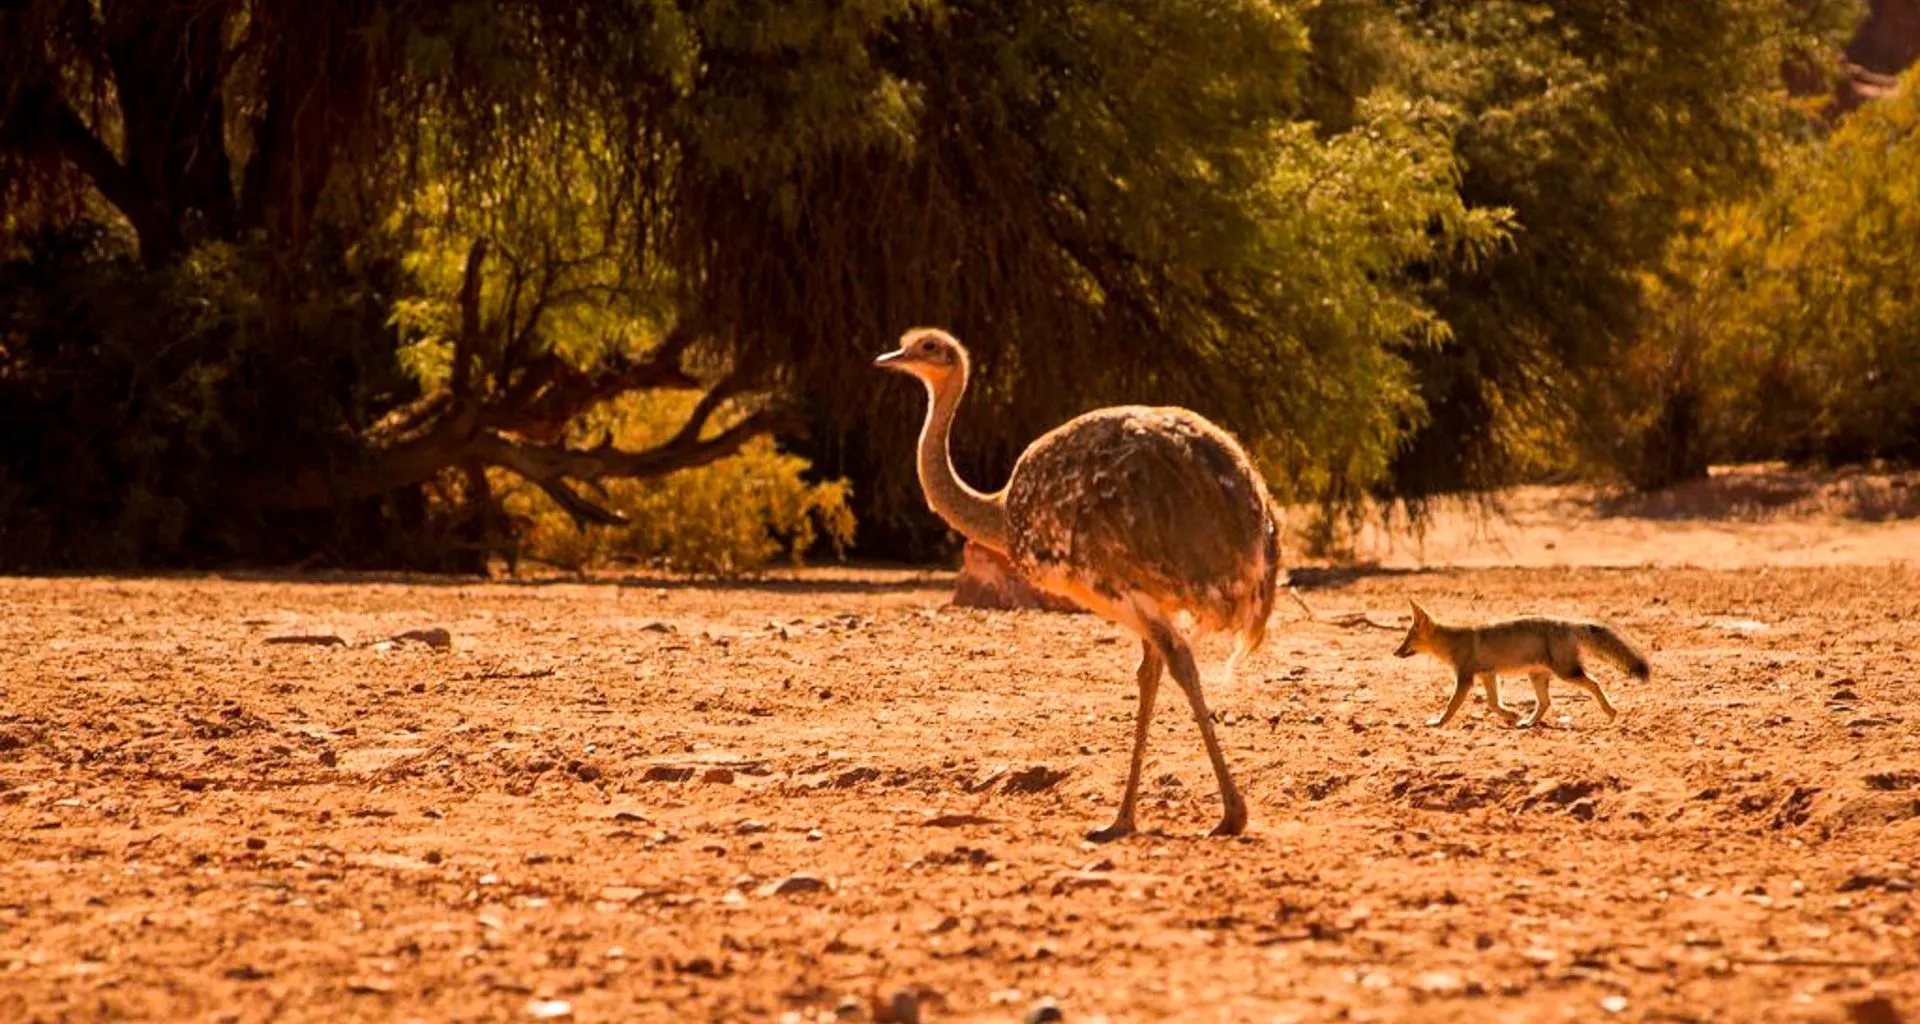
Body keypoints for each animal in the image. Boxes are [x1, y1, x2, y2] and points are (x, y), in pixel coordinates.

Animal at [1393, 599, 1652, 728]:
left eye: (1407, 639)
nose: (1395, 652)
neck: (1454, 640)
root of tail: (1569, 622)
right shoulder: (1489, 675)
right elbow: (1493, 703)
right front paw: (1511, 715)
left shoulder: (1465, 678)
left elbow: (1451, 706)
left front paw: (1438, 722)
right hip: (1537, 676)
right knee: (1546, 703)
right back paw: (1528, 722)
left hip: (1566, 672)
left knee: (1595, 683)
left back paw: (1610, 712)